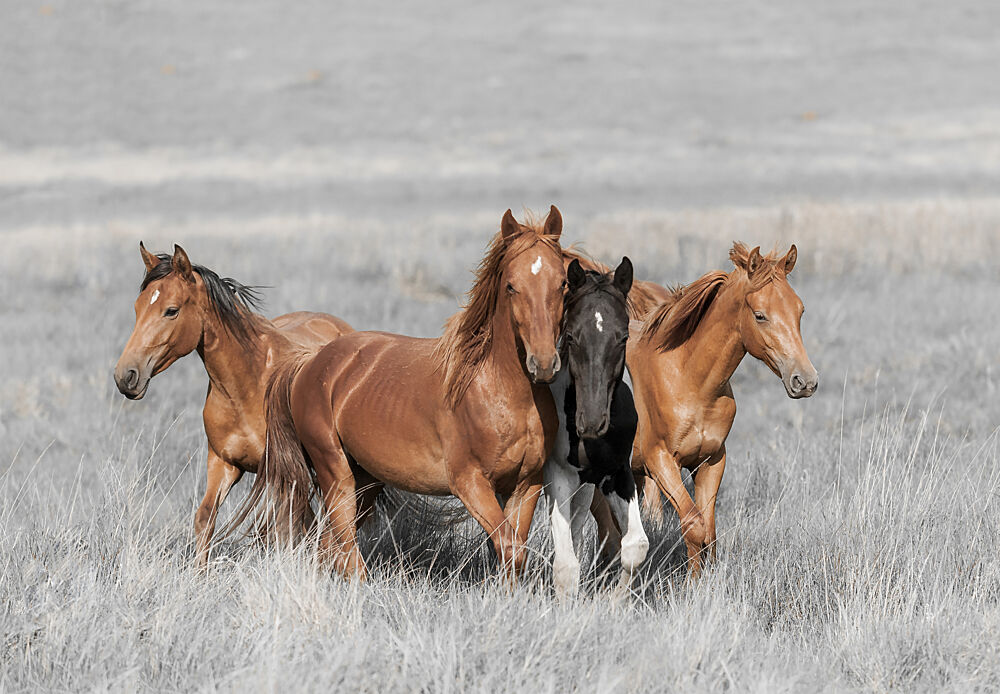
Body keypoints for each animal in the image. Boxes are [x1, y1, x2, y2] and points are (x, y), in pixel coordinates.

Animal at [113, 243, 353, 566]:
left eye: (171, 310)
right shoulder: (223, 463)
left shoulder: (283, 473)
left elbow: (292, 526)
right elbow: (205, 518)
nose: (125, 376)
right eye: (137, 308)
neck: (248, 386)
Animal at [229, 207, 567, 582]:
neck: (500, 393)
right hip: (335, 472)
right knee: (345, 547)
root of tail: (310, 361)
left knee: (329, 545)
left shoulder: (527, 484)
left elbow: (515, 551)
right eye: (511, 286)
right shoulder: (470, 483)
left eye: (563, 283)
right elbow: (508, 545)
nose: (543, 364)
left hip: (366, 480)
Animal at [544, 256, 650, 599]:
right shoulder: (559, 475)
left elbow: (635, 546)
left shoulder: (616, 472)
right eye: (571, 336)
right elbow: (565, 567)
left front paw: (616, 603)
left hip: (587, 486)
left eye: (623, 337)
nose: (590, 422)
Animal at [593, 243, 818, 577]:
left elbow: (708, 531)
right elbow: (693, 525)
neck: (689, 379)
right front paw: (692, 584)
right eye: (760, 315)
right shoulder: (661, 462)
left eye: (799, 310)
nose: (805, 380)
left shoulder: (711, 461)